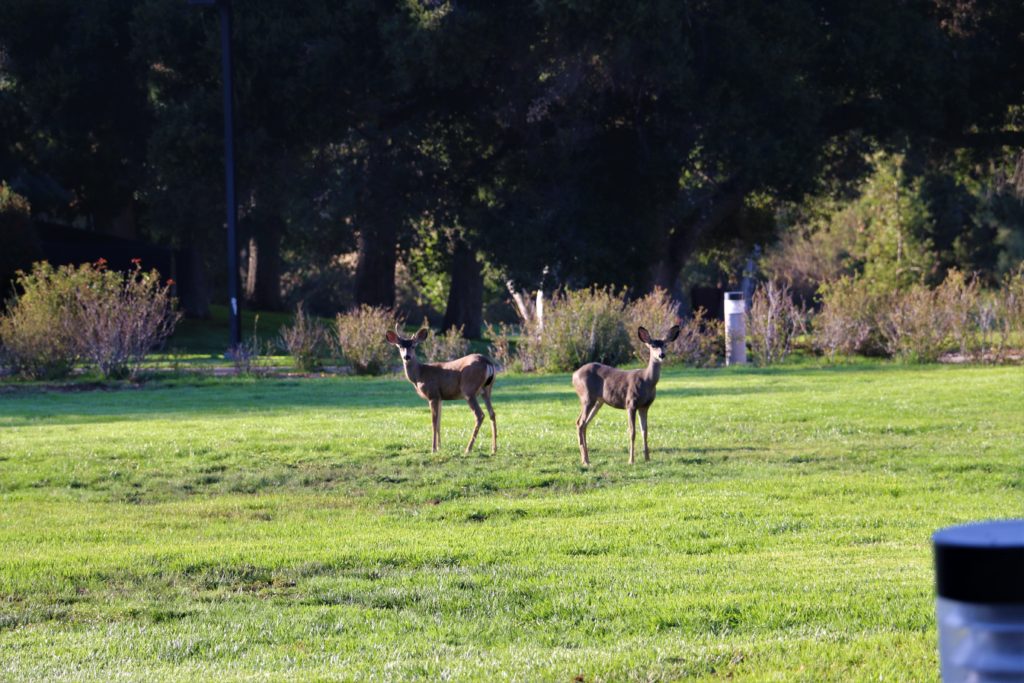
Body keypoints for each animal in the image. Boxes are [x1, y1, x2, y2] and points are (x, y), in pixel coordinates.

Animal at [577, 325, 679, 464]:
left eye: (665, 344)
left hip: (598, 401)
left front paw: (647, 458)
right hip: (587, 397)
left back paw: (585, 459)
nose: (661, 355)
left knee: (584, 424)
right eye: (652, 345)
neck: (647, 381)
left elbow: (645, 431)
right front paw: (631, 460)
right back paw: (586, 461)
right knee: (580, 423)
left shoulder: (645, 406)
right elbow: (632, 432)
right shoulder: (631, 403)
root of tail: (574, 375)